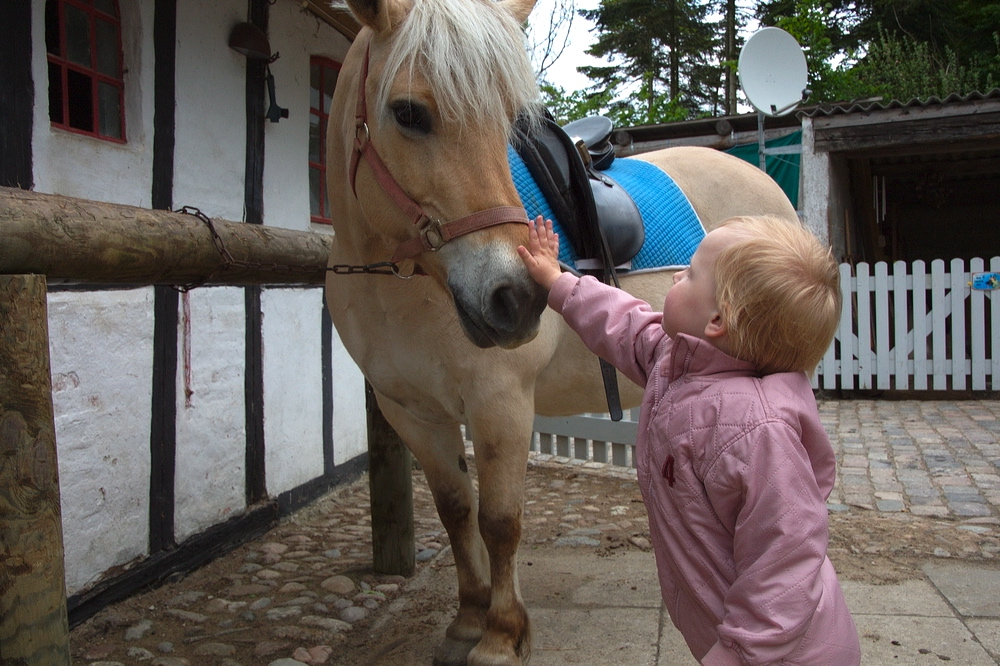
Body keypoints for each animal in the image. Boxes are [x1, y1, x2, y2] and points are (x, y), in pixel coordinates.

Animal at [324, 0, 798, 662]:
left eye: (507, 124)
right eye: (409, 113)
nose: (516, 298)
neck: (398, 280)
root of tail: (765, 181)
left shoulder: (499, 404)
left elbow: (499, 521)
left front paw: (501, 636)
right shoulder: (411, 411)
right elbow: (455, 510)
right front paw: (467, 621)